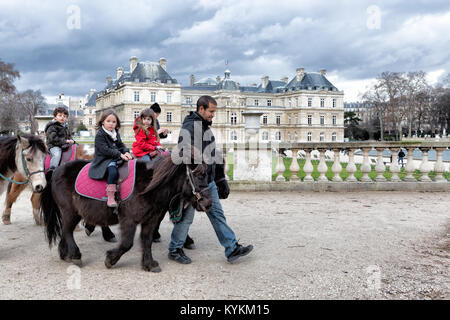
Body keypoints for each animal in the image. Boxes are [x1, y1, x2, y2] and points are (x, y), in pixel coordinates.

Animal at [40, 154, 213, 272]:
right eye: (198, 175)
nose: (209, 203)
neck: (147, 186)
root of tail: (55, 171)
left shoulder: (150, 220)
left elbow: (147, 241)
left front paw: (149, 264)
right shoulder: (128, 220)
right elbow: (127, 243)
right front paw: (110, 259)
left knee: (65, 231)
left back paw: (65, 254)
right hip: (70, 211)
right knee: (67, 231)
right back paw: (75, 255)